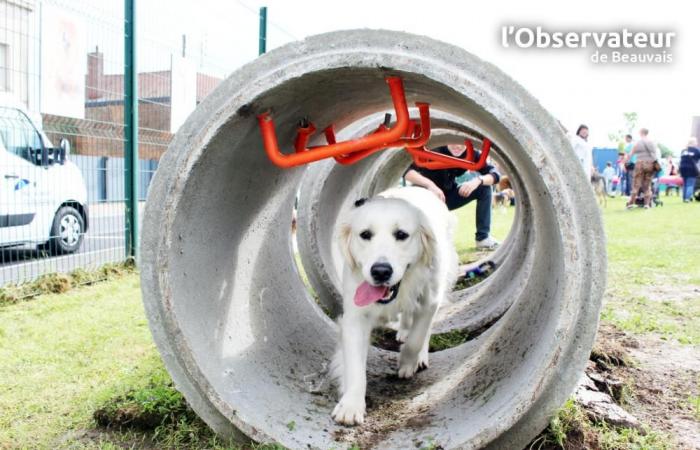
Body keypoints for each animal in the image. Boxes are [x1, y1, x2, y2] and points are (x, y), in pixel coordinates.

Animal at [330, 185, 456, 426]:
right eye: (365, 235)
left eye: (401, 235)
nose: (380, 271)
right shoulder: (355, 317)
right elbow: (355, 365)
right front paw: (351, 405)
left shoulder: (430, 300)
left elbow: (417, 338)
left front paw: (408, 363)